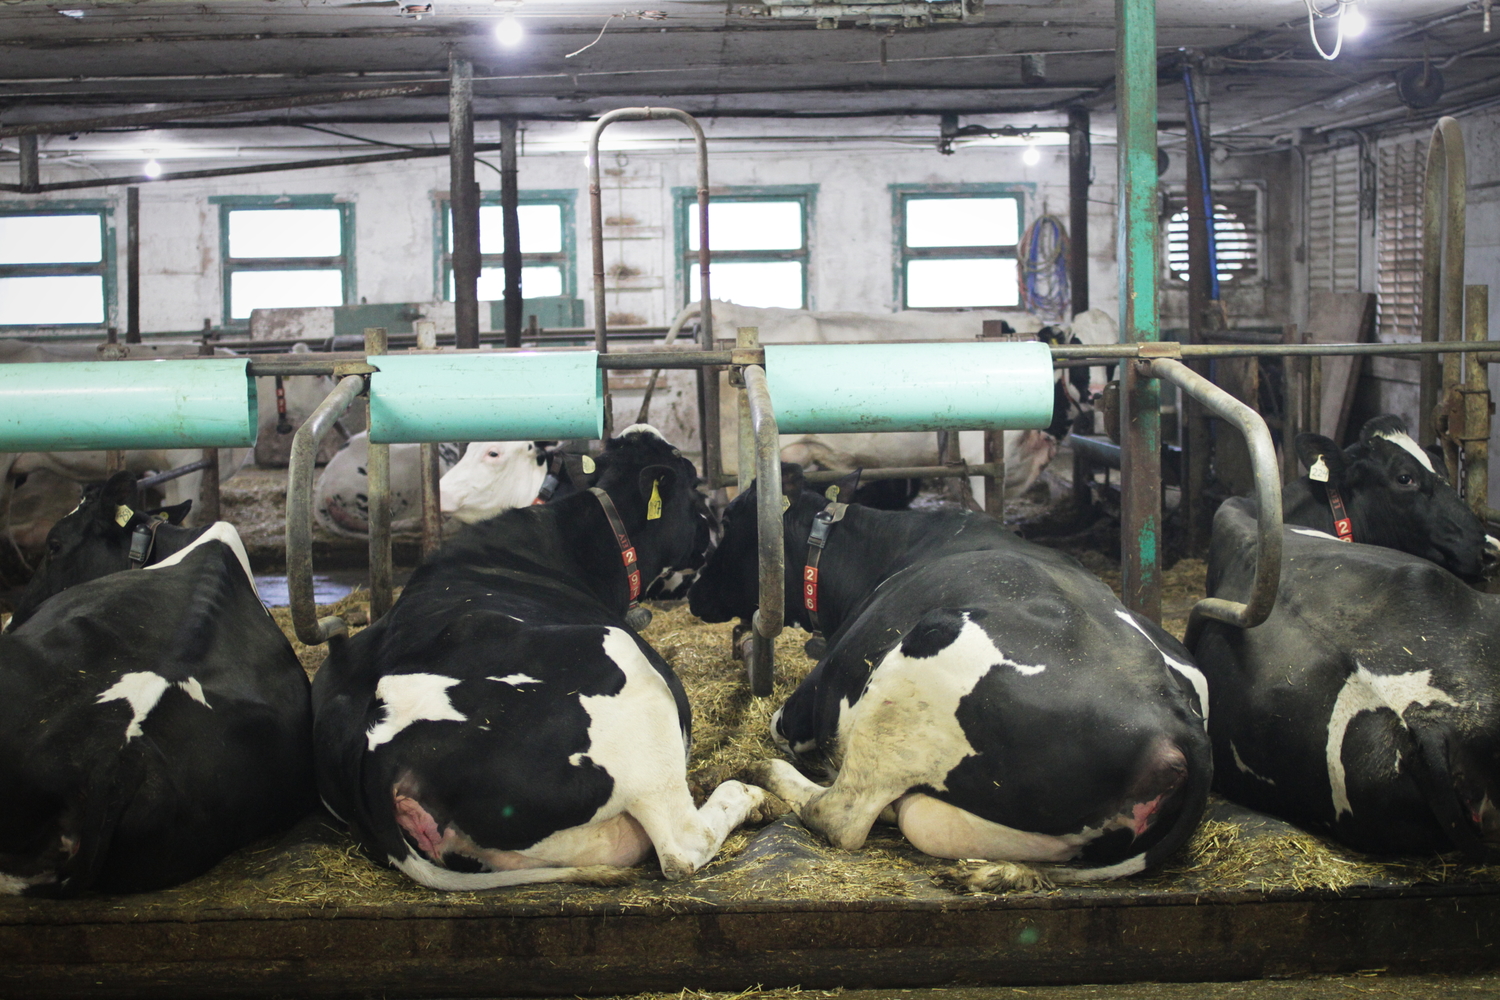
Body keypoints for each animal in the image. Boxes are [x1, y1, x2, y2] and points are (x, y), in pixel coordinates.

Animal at [309, 425, 768, 893]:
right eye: (694, 483)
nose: (713, 536)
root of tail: (375, 744)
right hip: (626, 671)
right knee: (682, 847)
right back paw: (748, 794)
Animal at [687, 464, 1212, 887]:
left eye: (729, 521)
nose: (692, 592)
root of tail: (1177, 719)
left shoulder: (807, 705)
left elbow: (784, 728)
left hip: (914, 671)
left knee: (842, 813)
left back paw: (761, 775)